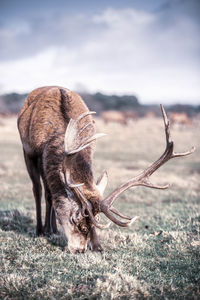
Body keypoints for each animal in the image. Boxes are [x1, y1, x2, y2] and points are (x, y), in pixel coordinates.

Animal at [17, 86, 195, 253]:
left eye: (94, 221)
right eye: (74, 219)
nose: (80, 249)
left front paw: (98, 246)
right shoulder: (34, 152)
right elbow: (44, 192)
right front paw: (44, 230)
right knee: (40, 190)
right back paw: (44, 229)